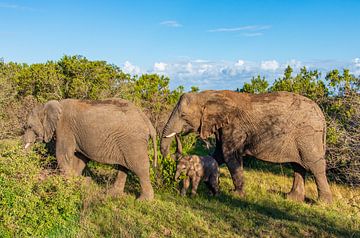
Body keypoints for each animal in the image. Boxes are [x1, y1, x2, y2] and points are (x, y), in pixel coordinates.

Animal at [162, 90, 334, 204]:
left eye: (183, 116)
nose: (176, 135)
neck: (209, 95)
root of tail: (322, 115)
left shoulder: (234, 127)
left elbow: (229, 155)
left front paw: (235, 195)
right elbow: (218, 155)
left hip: (308, 136)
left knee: (314, 166)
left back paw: (323, 203)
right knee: (298, 166)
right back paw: (291, 198)